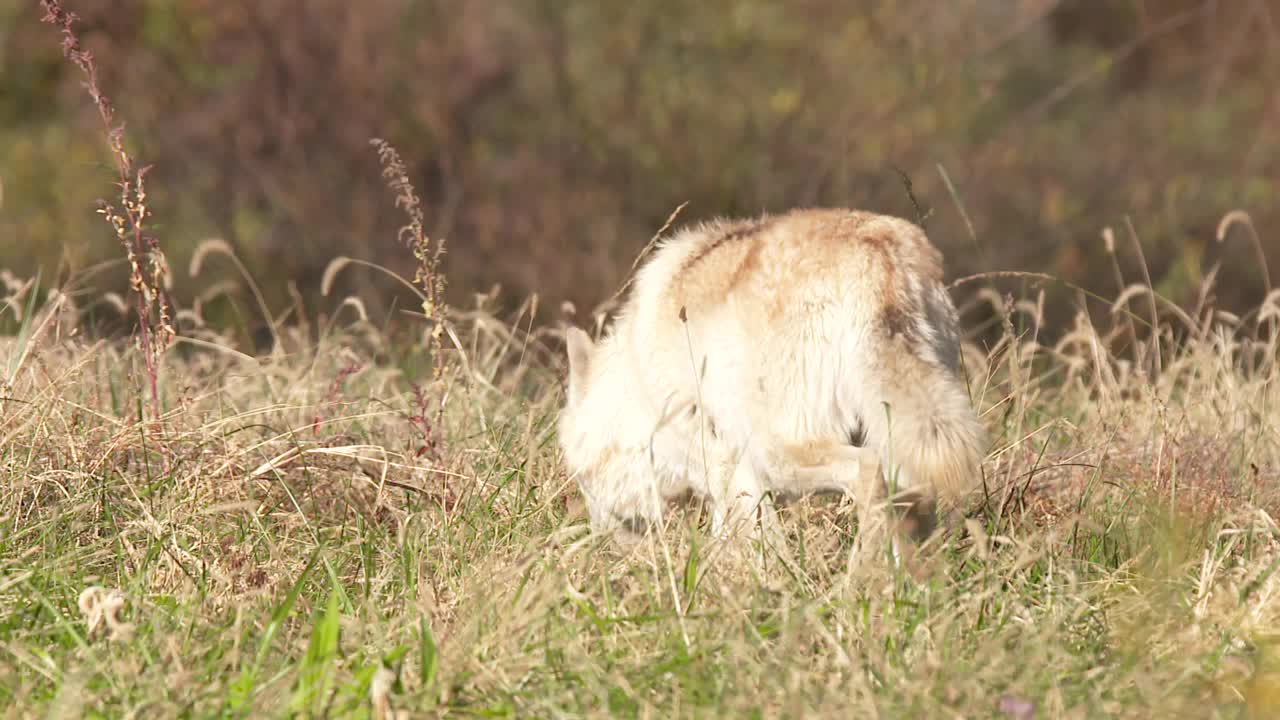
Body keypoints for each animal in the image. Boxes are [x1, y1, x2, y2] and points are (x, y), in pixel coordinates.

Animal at [555, 207, 983, 548]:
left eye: (581, 480)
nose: (599, 543)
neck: (637, 383)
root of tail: (879, 257)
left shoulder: (728, 468)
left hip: (782, 453)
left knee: (866, 474)